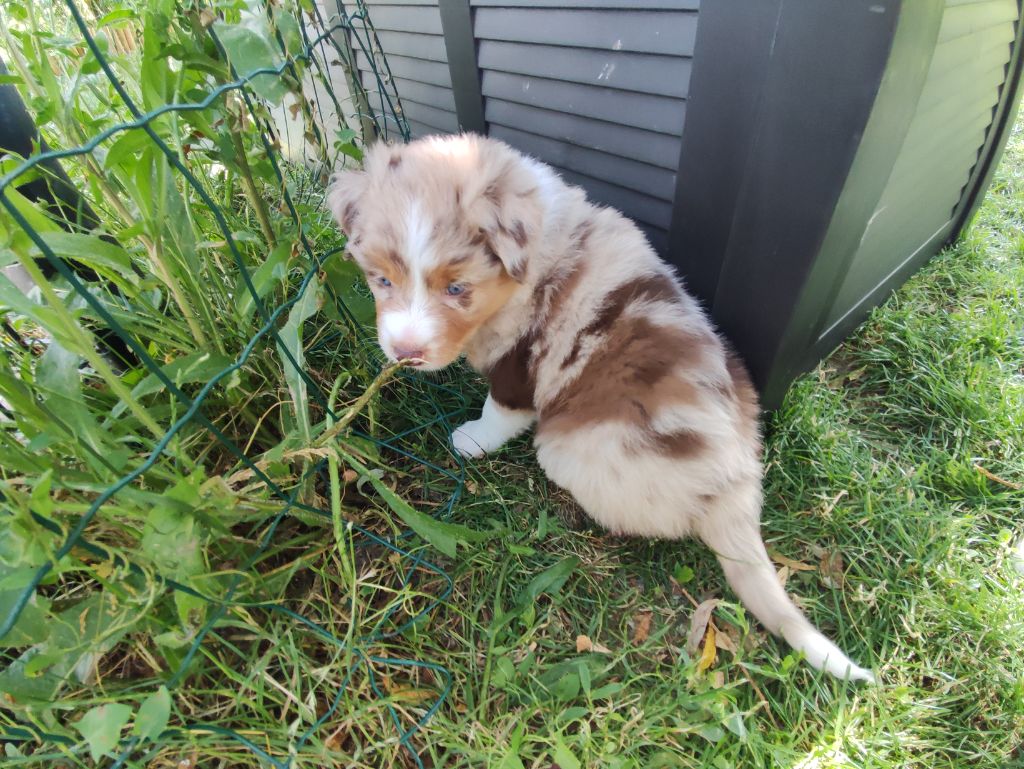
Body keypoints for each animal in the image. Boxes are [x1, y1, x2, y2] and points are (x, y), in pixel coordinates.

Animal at [327, 134, 874, 683]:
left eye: (457, 288)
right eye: (381, 280)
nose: (405, 352)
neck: (532, 258)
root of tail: (733, 479)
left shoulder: (520, 359)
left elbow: (501, 410)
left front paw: (471, 439)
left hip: (572, 450)